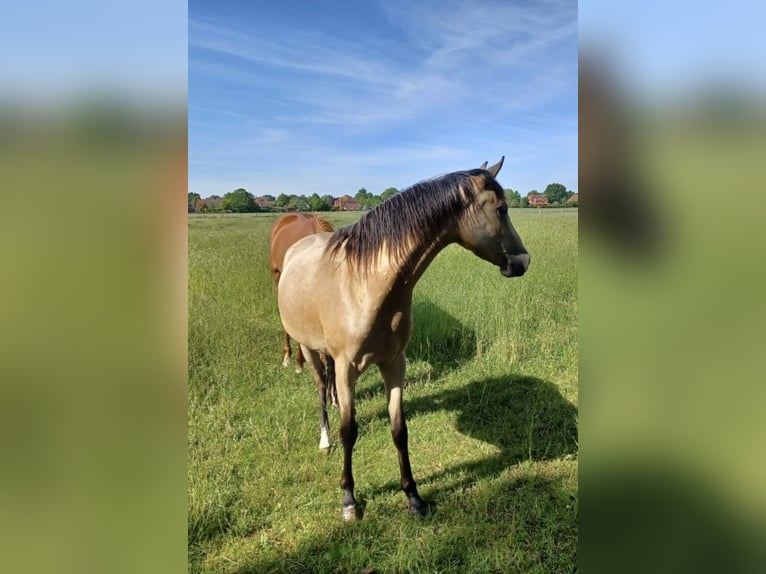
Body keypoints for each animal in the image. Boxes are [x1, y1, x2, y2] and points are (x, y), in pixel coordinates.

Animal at [280, 158, 532, 520]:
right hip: (308, 349)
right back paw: (324, 440)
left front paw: (413, 496)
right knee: (319, 390)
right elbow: (349, 431)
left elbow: (400, 430)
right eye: (501, 209)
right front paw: (349, 501)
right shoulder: (346, 368)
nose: (523, 261)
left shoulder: (395, 364)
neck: (365, 285)